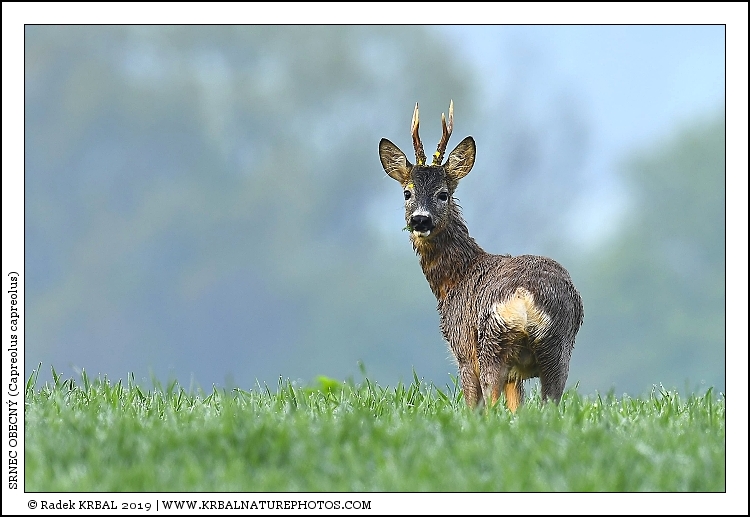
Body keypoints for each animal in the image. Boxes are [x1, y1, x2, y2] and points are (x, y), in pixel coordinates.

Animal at [378, 101, 584, 413]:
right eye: (407, 193)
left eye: (443, 194)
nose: (420, 220)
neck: (455, 278)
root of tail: (524, 296)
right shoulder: (517, 375)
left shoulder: (463, 350)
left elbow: (473, 406)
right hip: (559, 347)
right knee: (549, 404)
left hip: (490, 345)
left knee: (490, 404)